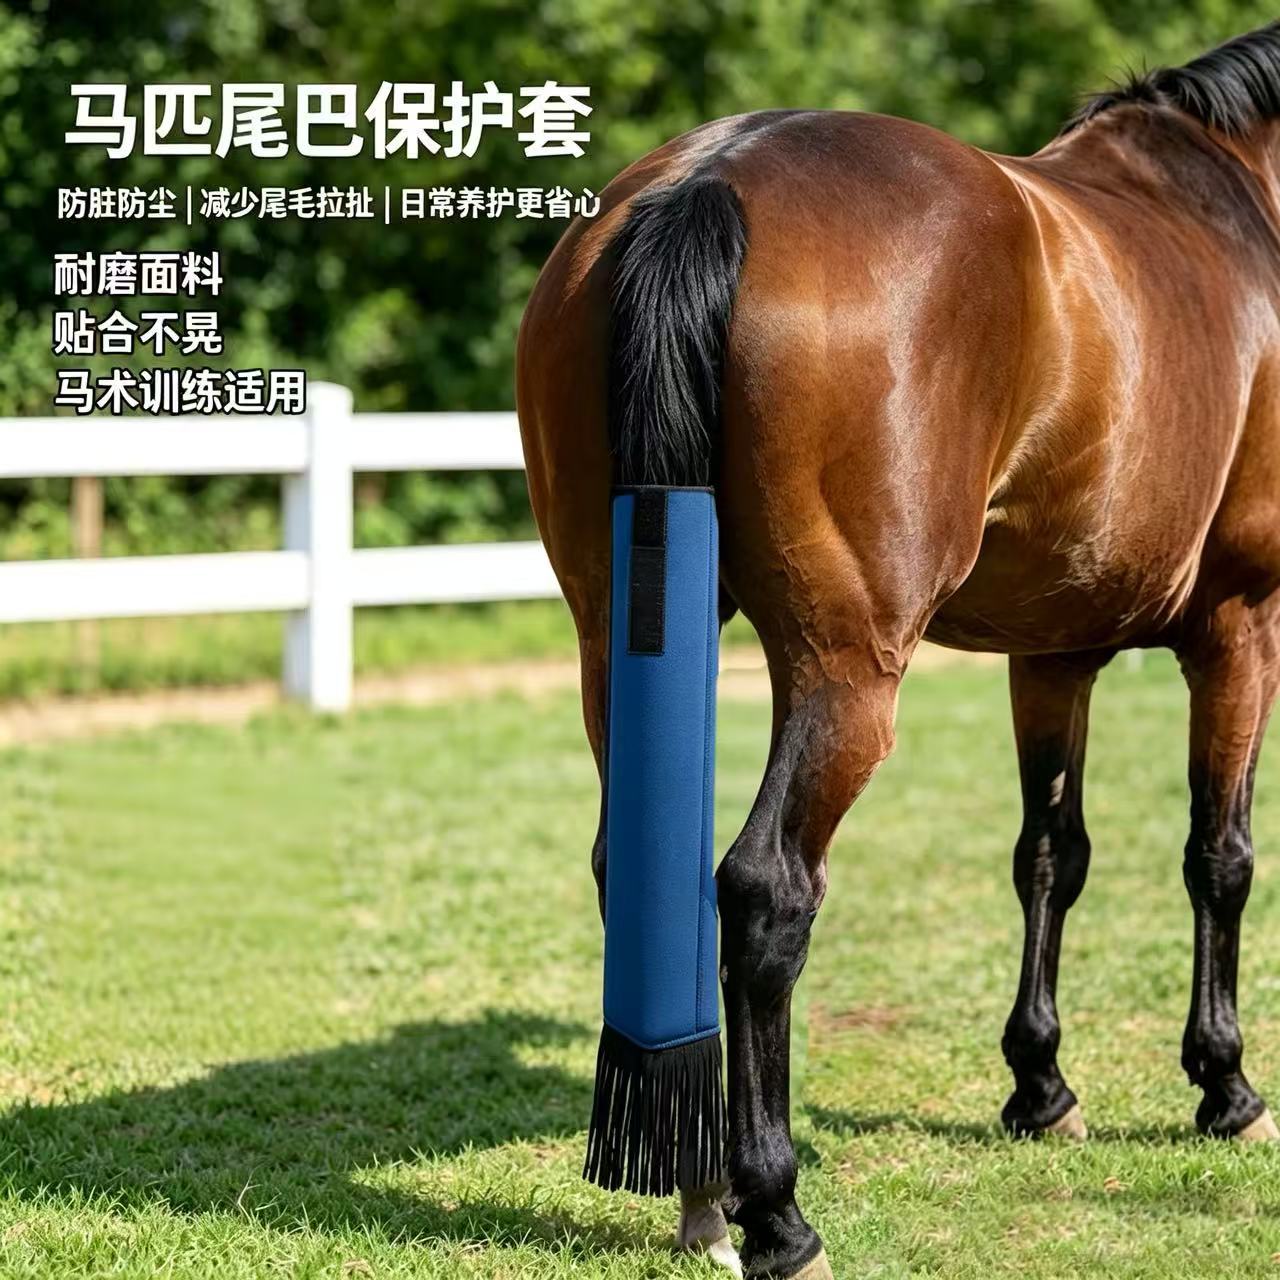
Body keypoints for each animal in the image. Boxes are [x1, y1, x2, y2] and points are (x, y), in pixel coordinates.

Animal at [516, 21, 1280, 1279]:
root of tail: (702, 182)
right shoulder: (1238, 620)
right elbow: (1216, 855)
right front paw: (1223, 1087)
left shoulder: (1050, 648)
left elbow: (1048, 854)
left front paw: (1039, 1085)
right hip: (843, 670)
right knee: (764, 889)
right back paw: (773, 1214)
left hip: (607, 643)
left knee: (639, 871)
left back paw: (701, 1195)